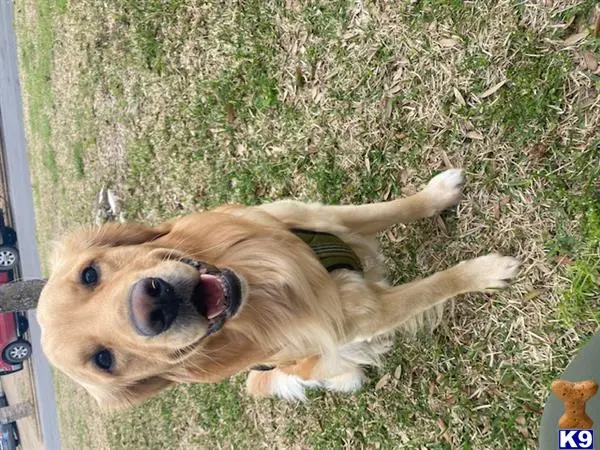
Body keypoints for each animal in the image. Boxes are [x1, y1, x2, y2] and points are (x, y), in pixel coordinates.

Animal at [36, 169, 520, 408]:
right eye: (105, 361)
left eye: (90, 274)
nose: (151, 306)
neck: (263, 284)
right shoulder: (366, 314)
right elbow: (437, 285)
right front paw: (487, 271)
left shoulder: (315, 218)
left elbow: (391, 208)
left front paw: (438, 193)